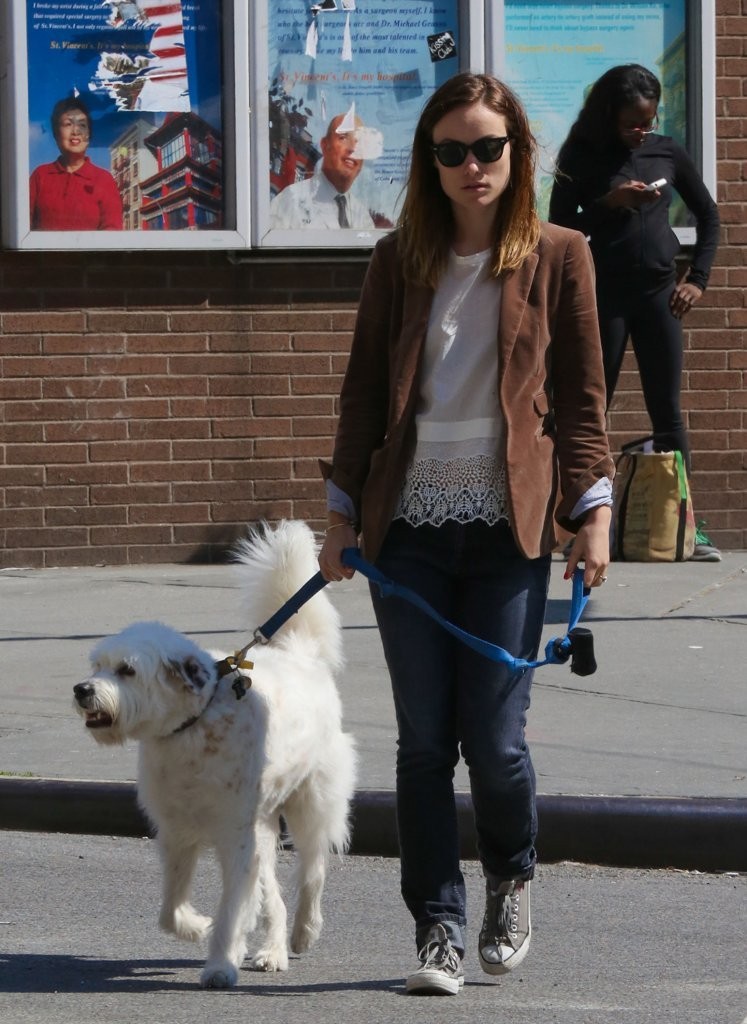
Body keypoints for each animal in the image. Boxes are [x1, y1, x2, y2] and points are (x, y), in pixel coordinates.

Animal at [73, 520, 357, 989]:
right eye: (98, 666)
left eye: (127, 670)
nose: (82, 690)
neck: (192, 727)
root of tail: (299, 652)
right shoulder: (176, 834)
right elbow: (170, 909)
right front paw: (197, 928)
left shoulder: (234, 839)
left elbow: (233, 910)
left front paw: (221, 963)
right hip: (263, 827)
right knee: (275, 897)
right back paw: (272, 951)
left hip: (313, 804)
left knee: (313, 872)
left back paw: (303, 931)